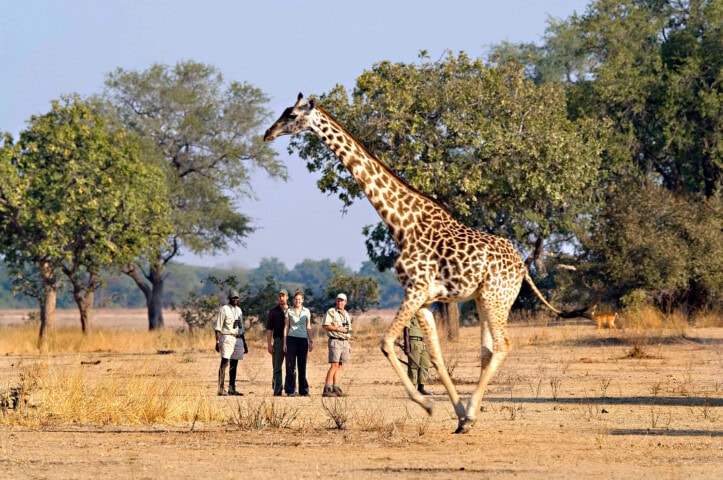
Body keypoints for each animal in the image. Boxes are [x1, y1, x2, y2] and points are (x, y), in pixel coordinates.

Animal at [264, 93, 571, 433]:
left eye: (291, 115)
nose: (268, 133)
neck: (401, 223)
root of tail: (522, 266)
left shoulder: (415, 289)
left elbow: (386, 342)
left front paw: (428, 405)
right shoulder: (424, 298)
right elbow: (435, 354)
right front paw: (457, 413)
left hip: (497, 296)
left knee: (502, 345)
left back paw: (472, 413)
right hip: (482, 298)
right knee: (488, 349)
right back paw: (470, 415)